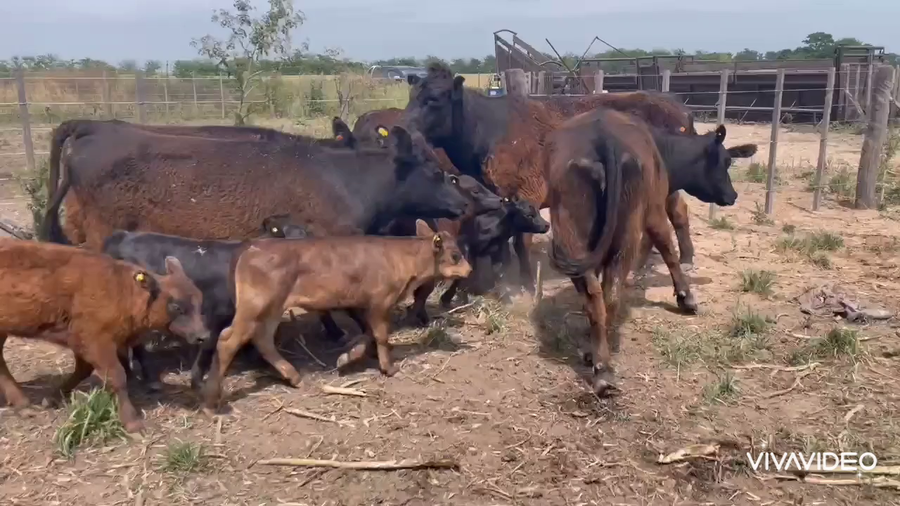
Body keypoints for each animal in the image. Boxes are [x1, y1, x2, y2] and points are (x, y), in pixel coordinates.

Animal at [0, 239, 208, 432]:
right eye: (177, 306)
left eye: (199, 300)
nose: (202, 335)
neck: (122, 291)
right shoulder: (96, 341)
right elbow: (117, 377)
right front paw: (133, 423)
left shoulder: (84, 342)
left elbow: (83, 370)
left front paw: (52, 398)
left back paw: (23, 405)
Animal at [201, 220, 471, 414]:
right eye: (456, 254)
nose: (469, 270)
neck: (403, 260)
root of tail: (251, 247)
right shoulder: (380, 302)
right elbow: (381, 335)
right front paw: (389, 368)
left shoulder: (369, 305)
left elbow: (368, 334)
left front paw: (346, 358)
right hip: (255, 306)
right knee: (228, 340)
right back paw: (210, 403)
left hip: (272, 308)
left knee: (263, 339)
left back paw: (294, 377)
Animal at [546, 107, 745, 396]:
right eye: (726, 161)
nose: (733, 195)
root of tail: (602, 136)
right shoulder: (655, 210)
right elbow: (667, 248)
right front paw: (686, 298)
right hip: (627, 230)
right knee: (611, 293)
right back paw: (603, 367)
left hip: (572, 235)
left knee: (596, 296)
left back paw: (598, 362)